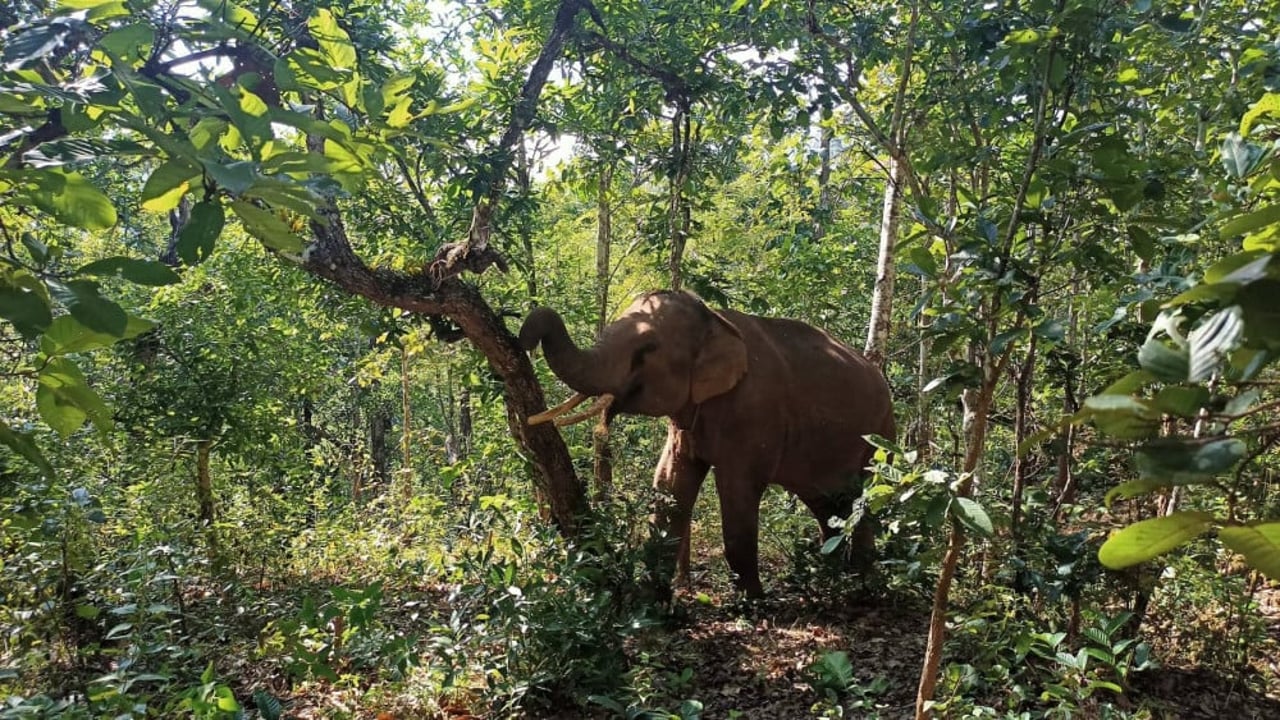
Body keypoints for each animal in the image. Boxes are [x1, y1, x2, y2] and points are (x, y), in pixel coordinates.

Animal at [514, 286, 896, 594]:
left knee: (863, 499)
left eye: (647, 349)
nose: (521, 339)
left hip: (881, 437)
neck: (715, 319)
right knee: (826, 504)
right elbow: (669, 484)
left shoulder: (755, 414)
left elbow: (738, 491)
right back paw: (837, 574)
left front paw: (753, 601)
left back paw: (864, 582)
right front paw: (652, 600)